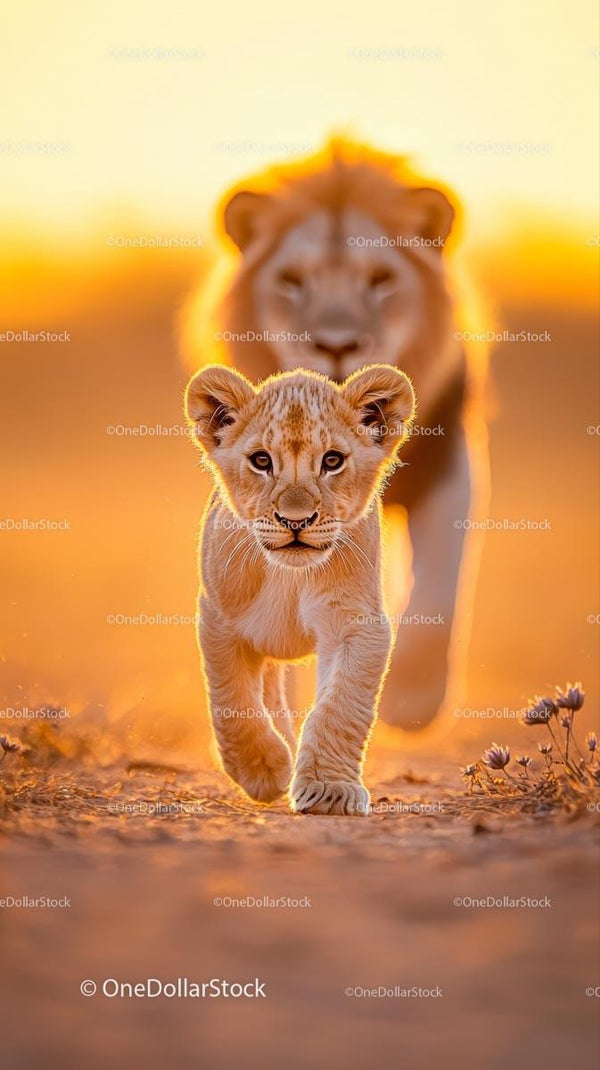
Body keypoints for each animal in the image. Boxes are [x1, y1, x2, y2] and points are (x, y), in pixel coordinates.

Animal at [182, 139, 488, 729]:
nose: (337, 343)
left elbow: (438, 583)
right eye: (292, 281)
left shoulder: (445, 466)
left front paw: (413, 698)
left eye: (381, 279)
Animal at [184, 362, 416, 813]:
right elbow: (233, 701)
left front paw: (329, 790)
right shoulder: (220, 619)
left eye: (332, 460)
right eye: (261, 460)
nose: (296, 521)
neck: (289, 576)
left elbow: (339, 707)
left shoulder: (356, 622)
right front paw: (262, 768)